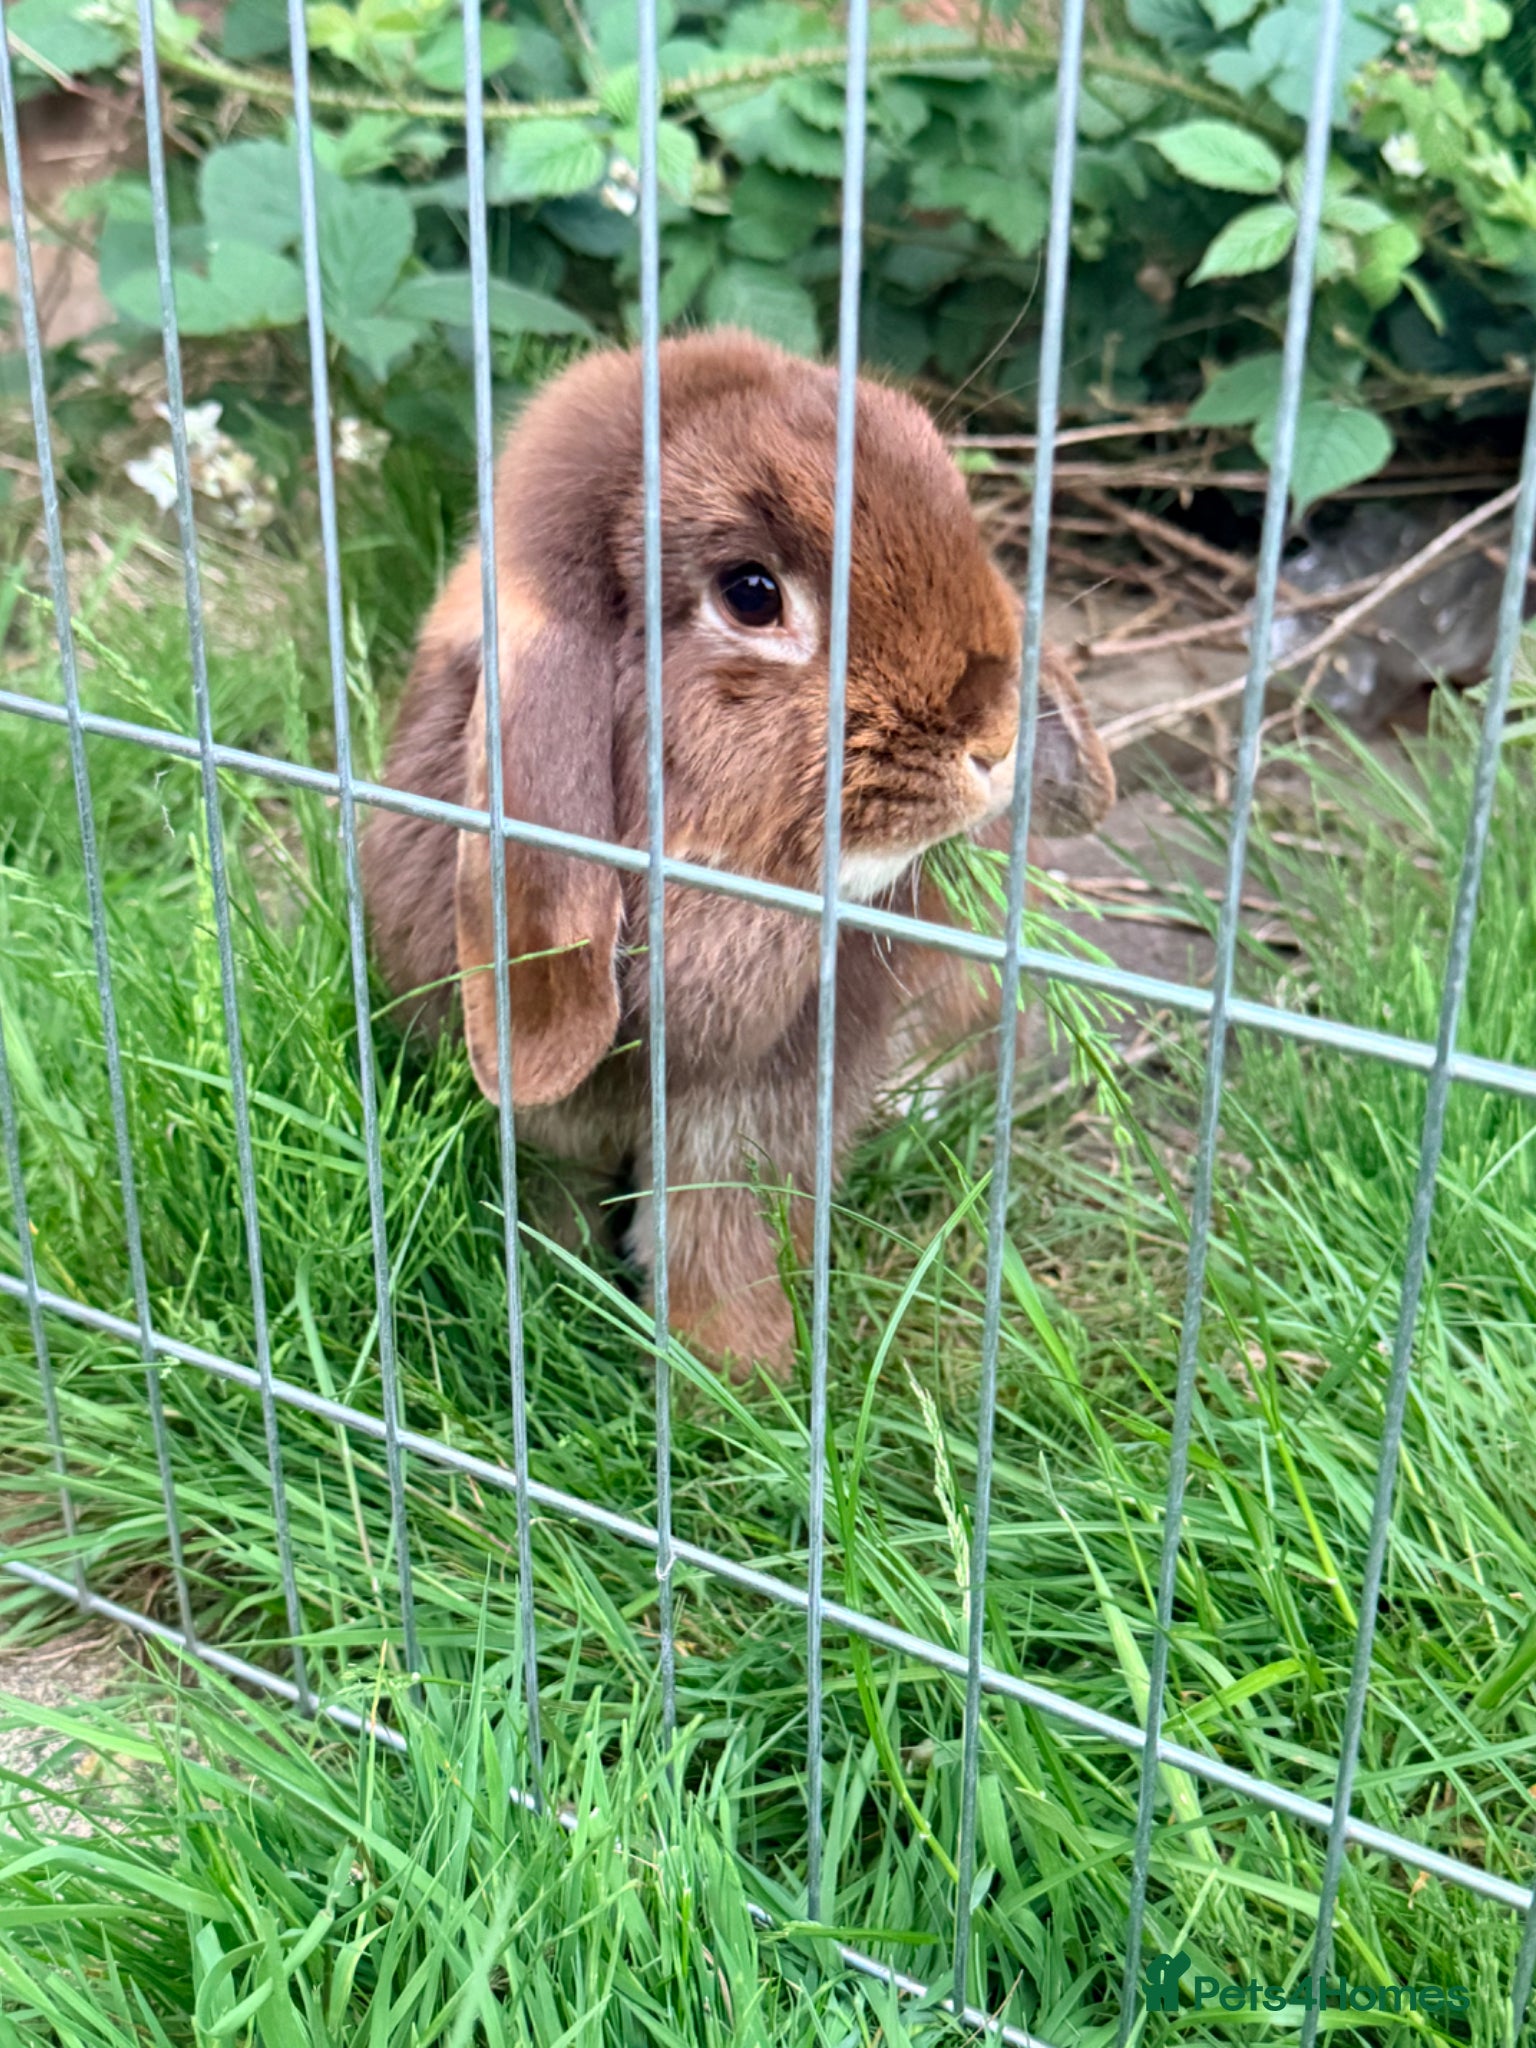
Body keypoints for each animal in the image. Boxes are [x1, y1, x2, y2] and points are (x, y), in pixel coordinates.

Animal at [363, 329, 1115, 1382]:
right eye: (752, 595)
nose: (999, 739)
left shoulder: (761, 1115)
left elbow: (724, 1238)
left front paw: (738, 1381)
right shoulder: (552, 1125)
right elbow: (558, 1195)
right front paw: (557, 1299)